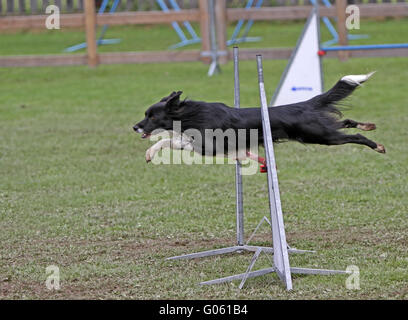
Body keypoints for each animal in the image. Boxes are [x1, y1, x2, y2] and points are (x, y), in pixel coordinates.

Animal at [134, 72, 386, 162]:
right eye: (145, 114)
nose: (135, 127)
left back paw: (378, 146)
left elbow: (174, 140)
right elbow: (170, 141)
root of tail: (305, 103)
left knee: (354, 136)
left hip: (322, 136)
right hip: (320, 131)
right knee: (346, 122)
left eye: (152, 117)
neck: (191, 115)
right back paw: (368, 125)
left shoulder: (209, 146)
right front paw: (149, 153)